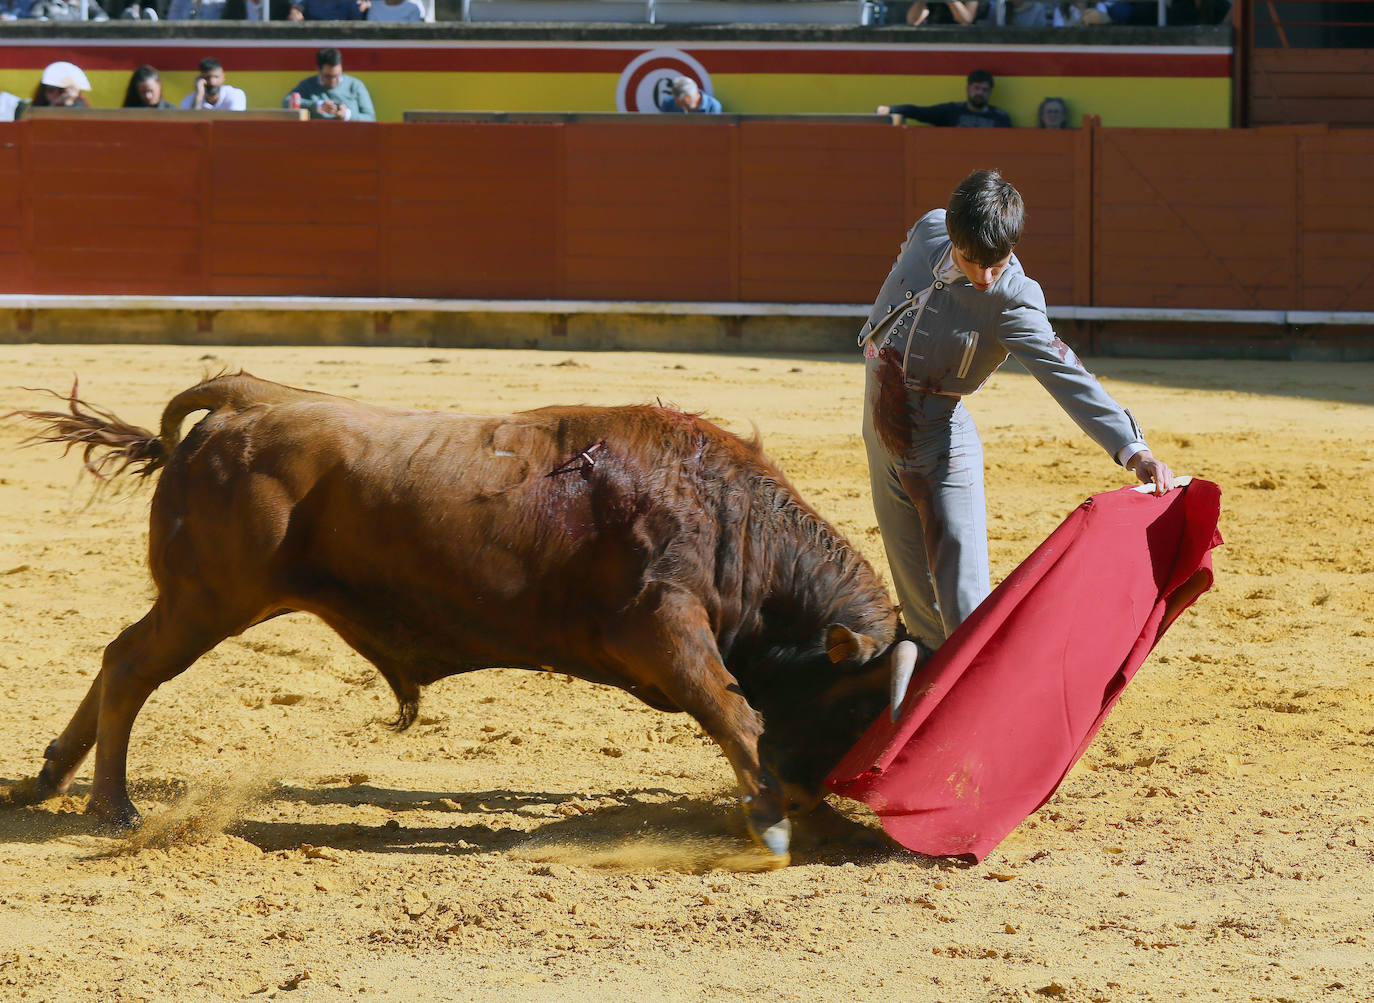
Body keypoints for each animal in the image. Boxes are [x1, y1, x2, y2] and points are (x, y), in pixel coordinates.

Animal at [13, 370, 923, 857]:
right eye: (858, 708)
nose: (830, 796)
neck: (736, 520)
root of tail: (245, 397)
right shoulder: (661, 624)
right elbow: (735, 711)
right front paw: (783, 824)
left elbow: (742, 715)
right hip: (211, 600)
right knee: (131, 664)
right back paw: (111, 806)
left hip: (199, 600)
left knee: (116, 655)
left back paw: (46, 778)